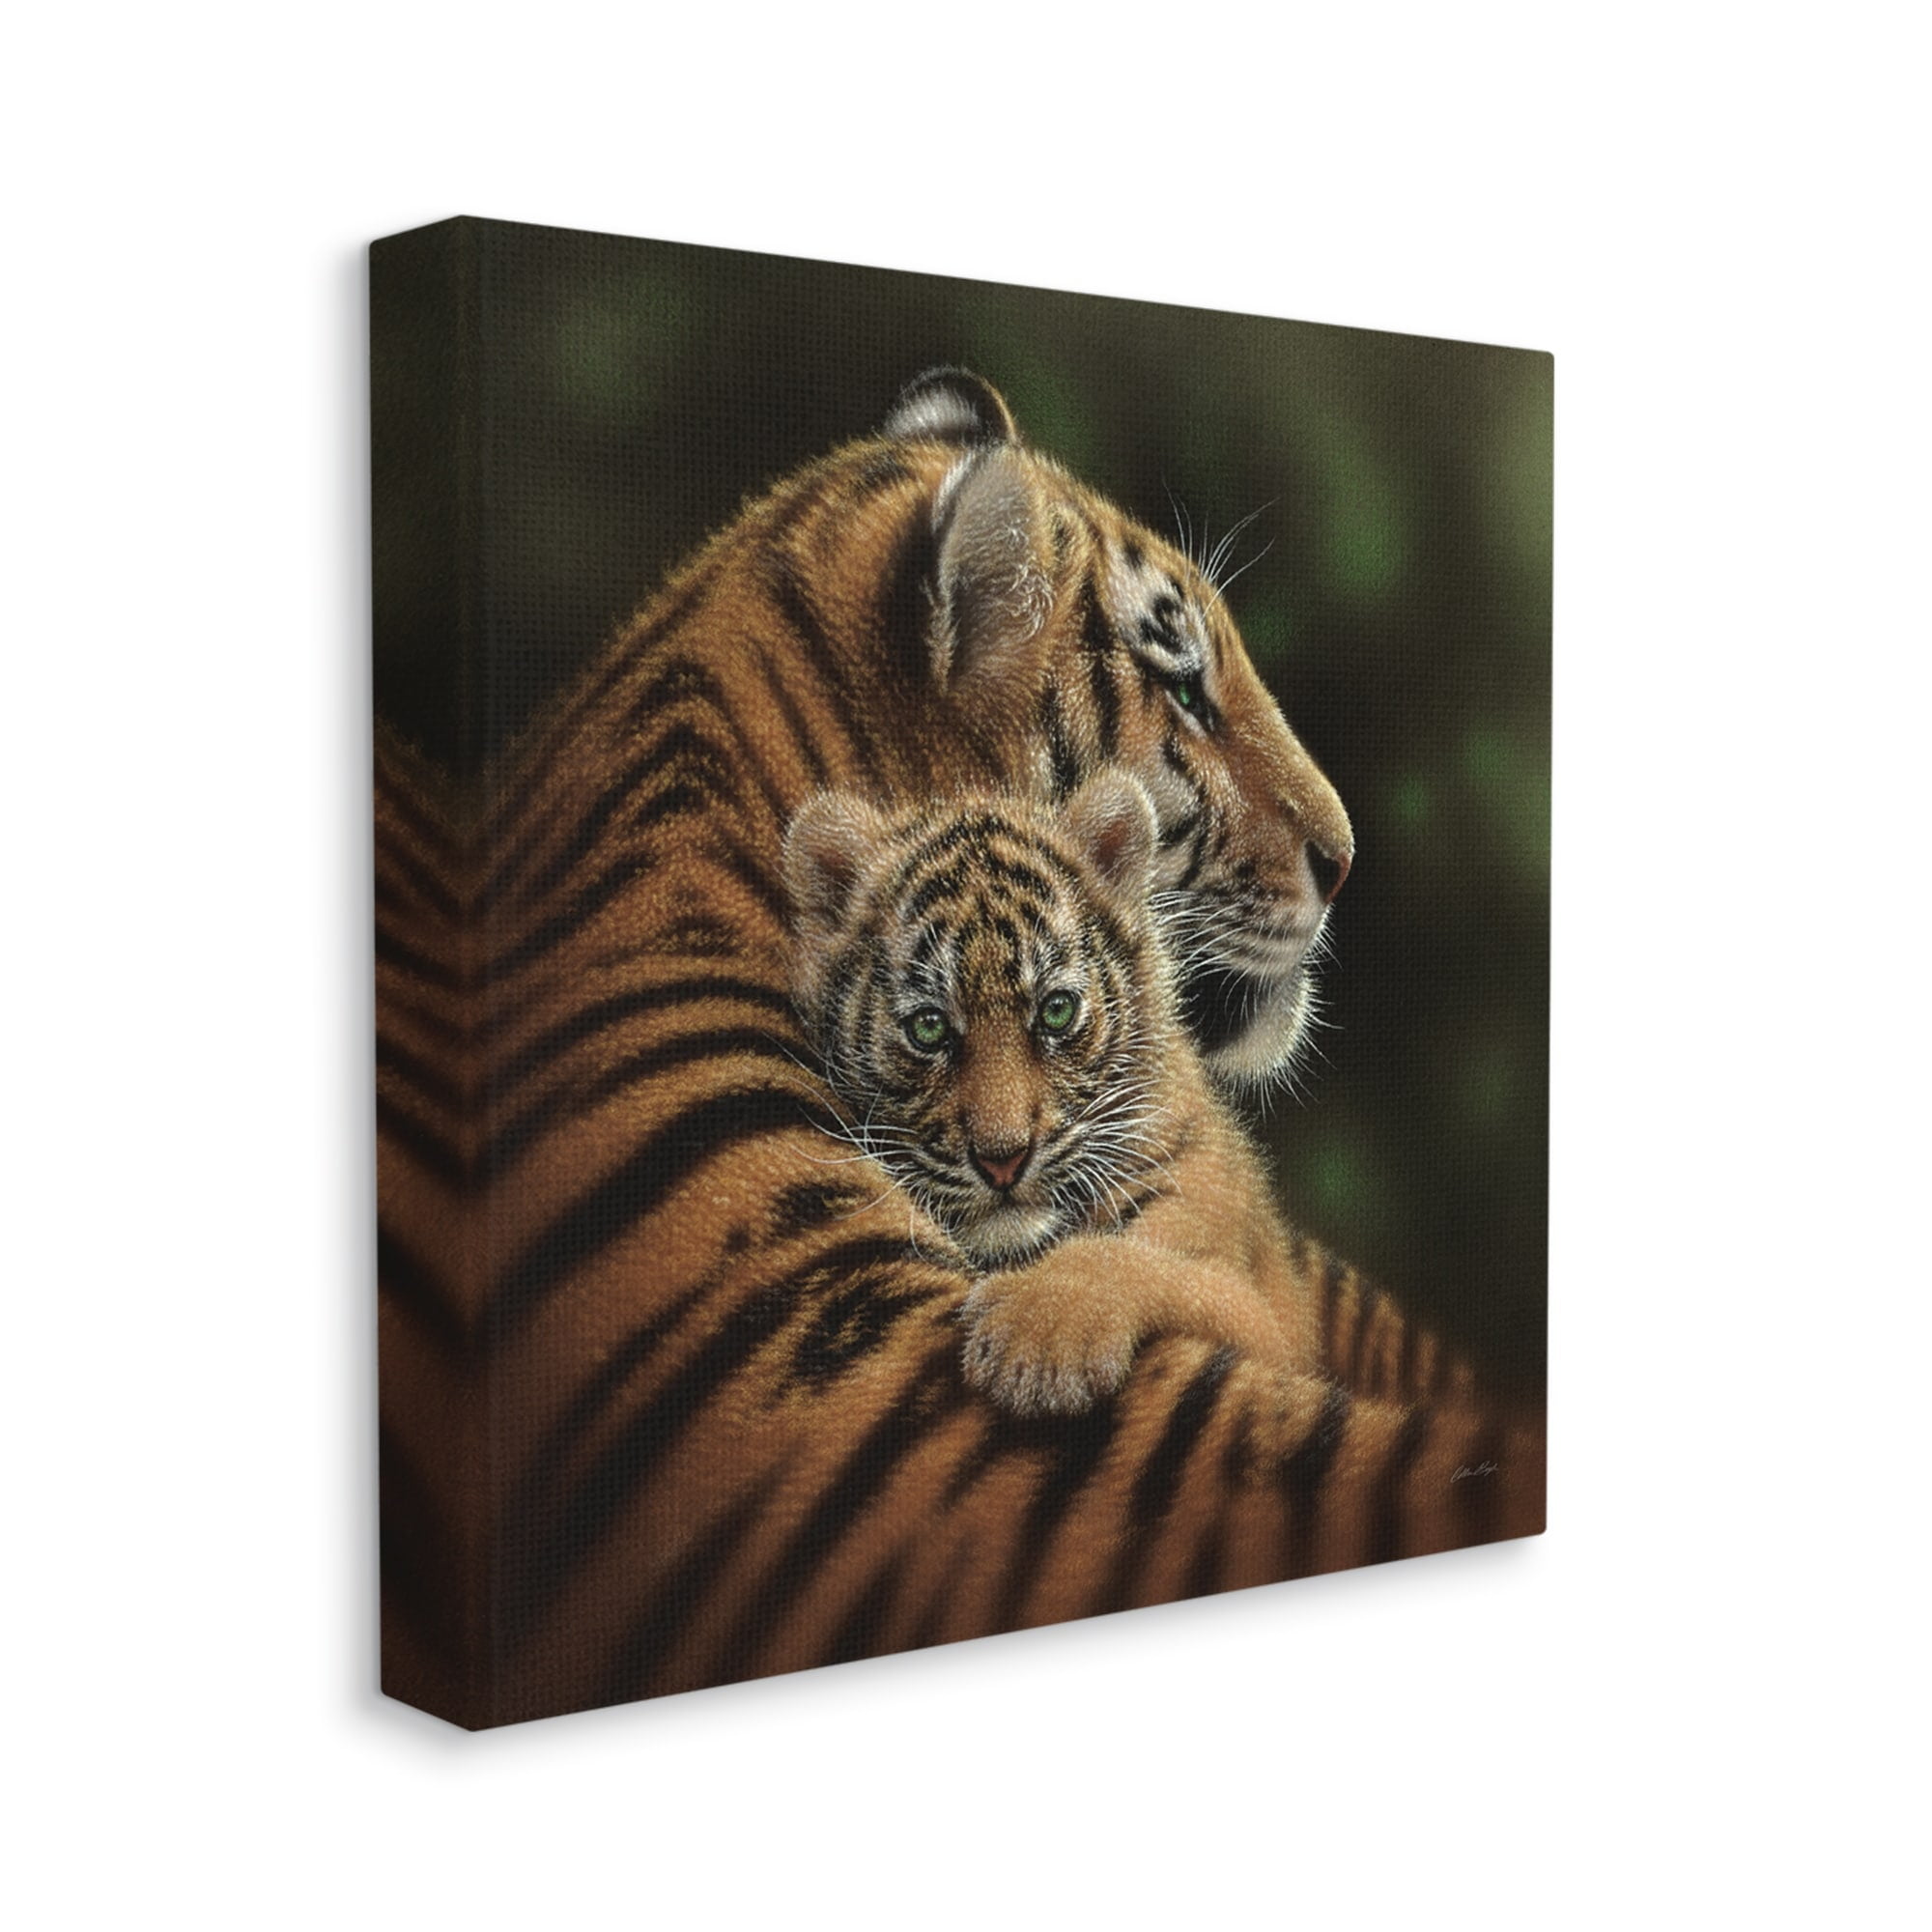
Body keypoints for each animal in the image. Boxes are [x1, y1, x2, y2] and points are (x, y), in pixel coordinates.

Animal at [784, 771, 1311, 1415]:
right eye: (929, 1027)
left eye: (1056, 1011)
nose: (1002, 1161)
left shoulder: (1268, 1324)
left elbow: (1146, 1264)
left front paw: (1038, 1337)